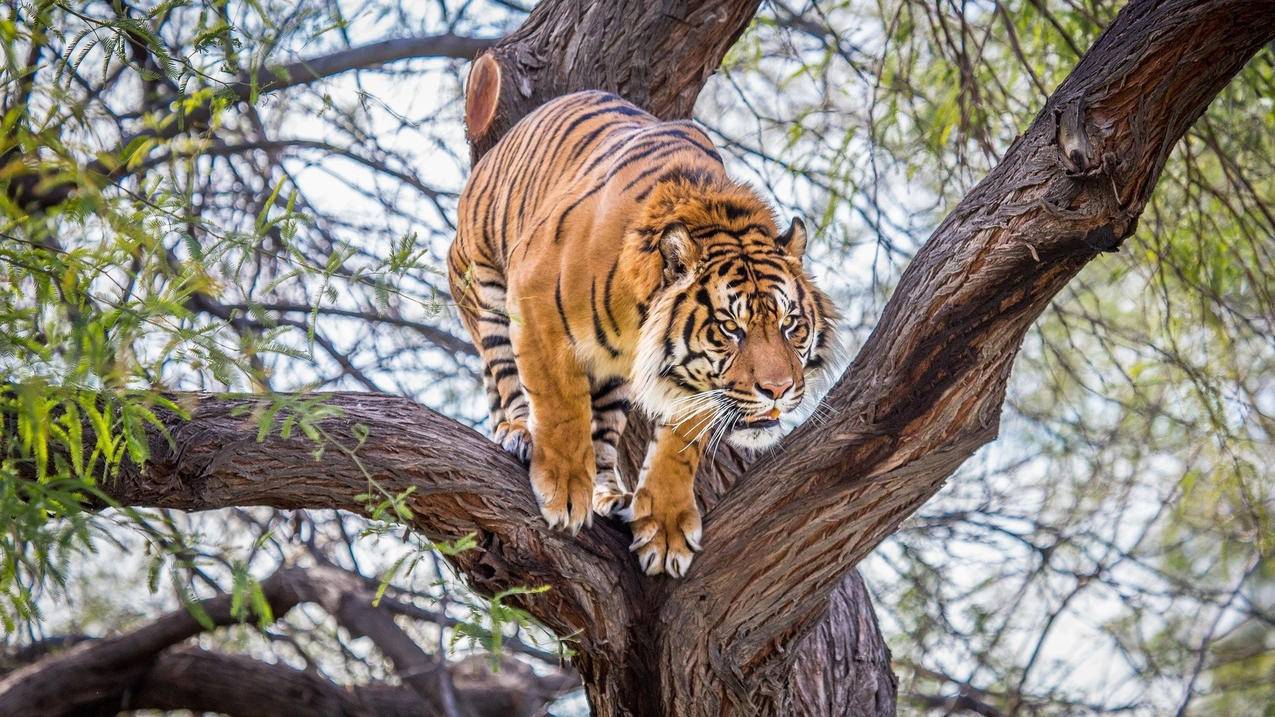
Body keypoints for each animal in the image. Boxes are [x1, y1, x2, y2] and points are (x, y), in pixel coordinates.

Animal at [446, 89, 836, 576]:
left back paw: (610, 495)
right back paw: (521, 434)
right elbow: (559, 406)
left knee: (603, 436)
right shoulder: (534, 304)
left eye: (790, 325)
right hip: (485, 287)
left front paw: (665, 528)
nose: (778, 390)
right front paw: (564, 489)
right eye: (731, 328)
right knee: (506, 381)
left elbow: (680, 446)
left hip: (615, 379)